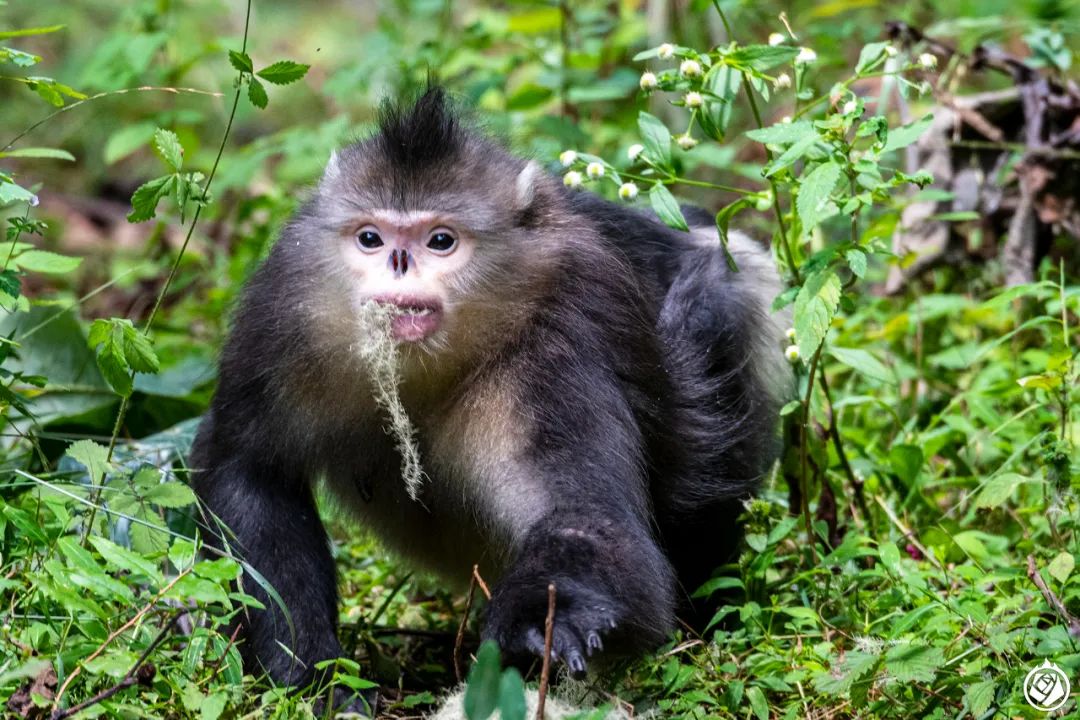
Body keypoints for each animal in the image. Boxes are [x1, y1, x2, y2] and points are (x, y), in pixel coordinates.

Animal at [190, 84, 790, 703]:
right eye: (370, 238)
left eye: (440, 241)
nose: (398, 263)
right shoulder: (287, 310)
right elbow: (248, 469)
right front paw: (314, 680)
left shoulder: (554, 340)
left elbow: (586, 520)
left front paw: (549, 621)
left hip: (729, 299)